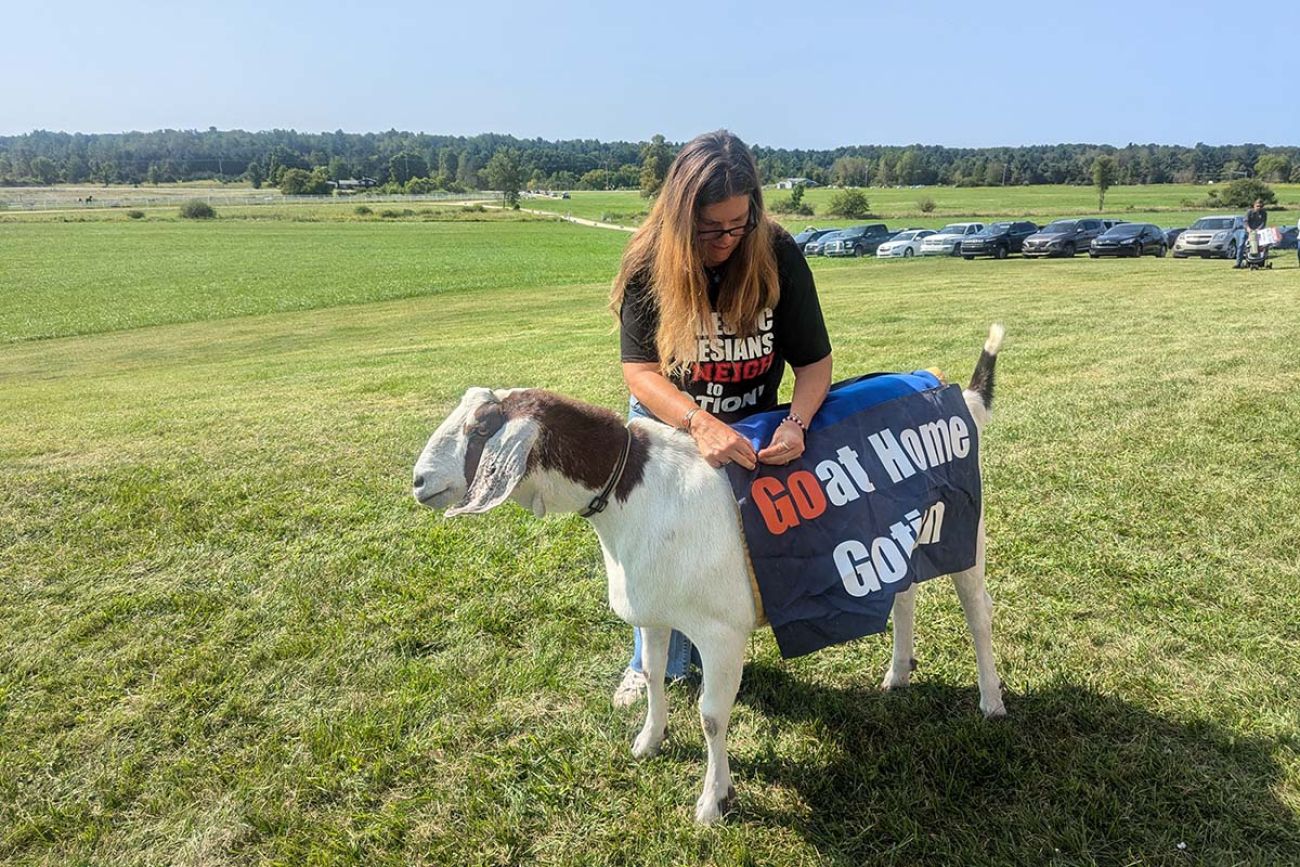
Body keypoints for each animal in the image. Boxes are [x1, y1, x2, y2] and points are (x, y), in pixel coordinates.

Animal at [413, 323, 1003, 821]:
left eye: (482, 426)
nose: (419, 481)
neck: (640, 486)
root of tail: (953, 391)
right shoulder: (654, 614)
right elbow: (655, 676)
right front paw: (648, 743)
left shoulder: (722, 633)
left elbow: (713, 716)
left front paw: (713, 801)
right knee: (903, 594)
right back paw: (897, 675)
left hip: (964, 529)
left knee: (979, 615)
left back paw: (991, 703)